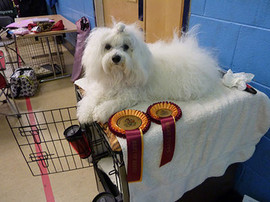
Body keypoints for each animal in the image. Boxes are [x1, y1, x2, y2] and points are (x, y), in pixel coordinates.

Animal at [77, 22, 220, 123]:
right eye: (107, 46)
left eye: (126, 47)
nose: (116, 57)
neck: (117, 75)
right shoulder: (101, 88)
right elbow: (91, 98)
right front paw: (85, 113)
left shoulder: (131, 95)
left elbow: (114, 102)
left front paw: (101, 112)